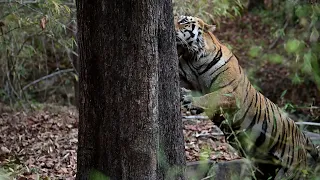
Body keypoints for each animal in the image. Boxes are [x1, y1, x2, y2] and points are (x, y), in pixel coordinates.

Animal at [176, 15, 318, 180]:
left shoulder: (230, 93)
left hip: (290, 171)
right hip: (263, 169)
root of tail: (301, 135)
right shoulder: (183, 74)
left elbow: (211, 97)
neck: (195, 59)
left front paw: (189, 99)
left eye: (183, 21)